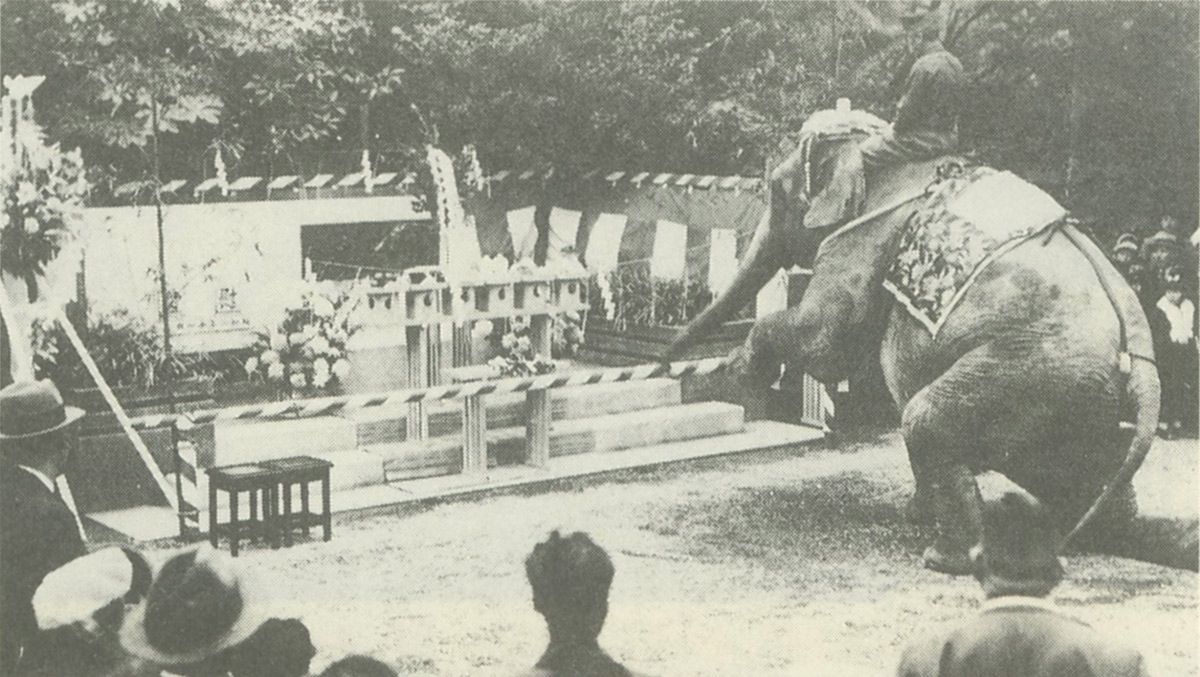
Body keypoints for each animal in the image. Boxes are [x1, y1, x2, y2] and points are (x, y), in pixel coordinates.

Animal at [662, 108, 1185, 573]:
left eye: (775, 190)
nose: (666, 360)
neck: (880, 150)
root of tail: (1143, 359)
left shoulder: (867, 235)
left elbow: (825, 337)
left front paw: (745, 369)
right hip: (1079, 399)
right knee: (1076, 467)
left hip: (1029, 370)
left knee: (926, 420)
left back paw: (944, 558)